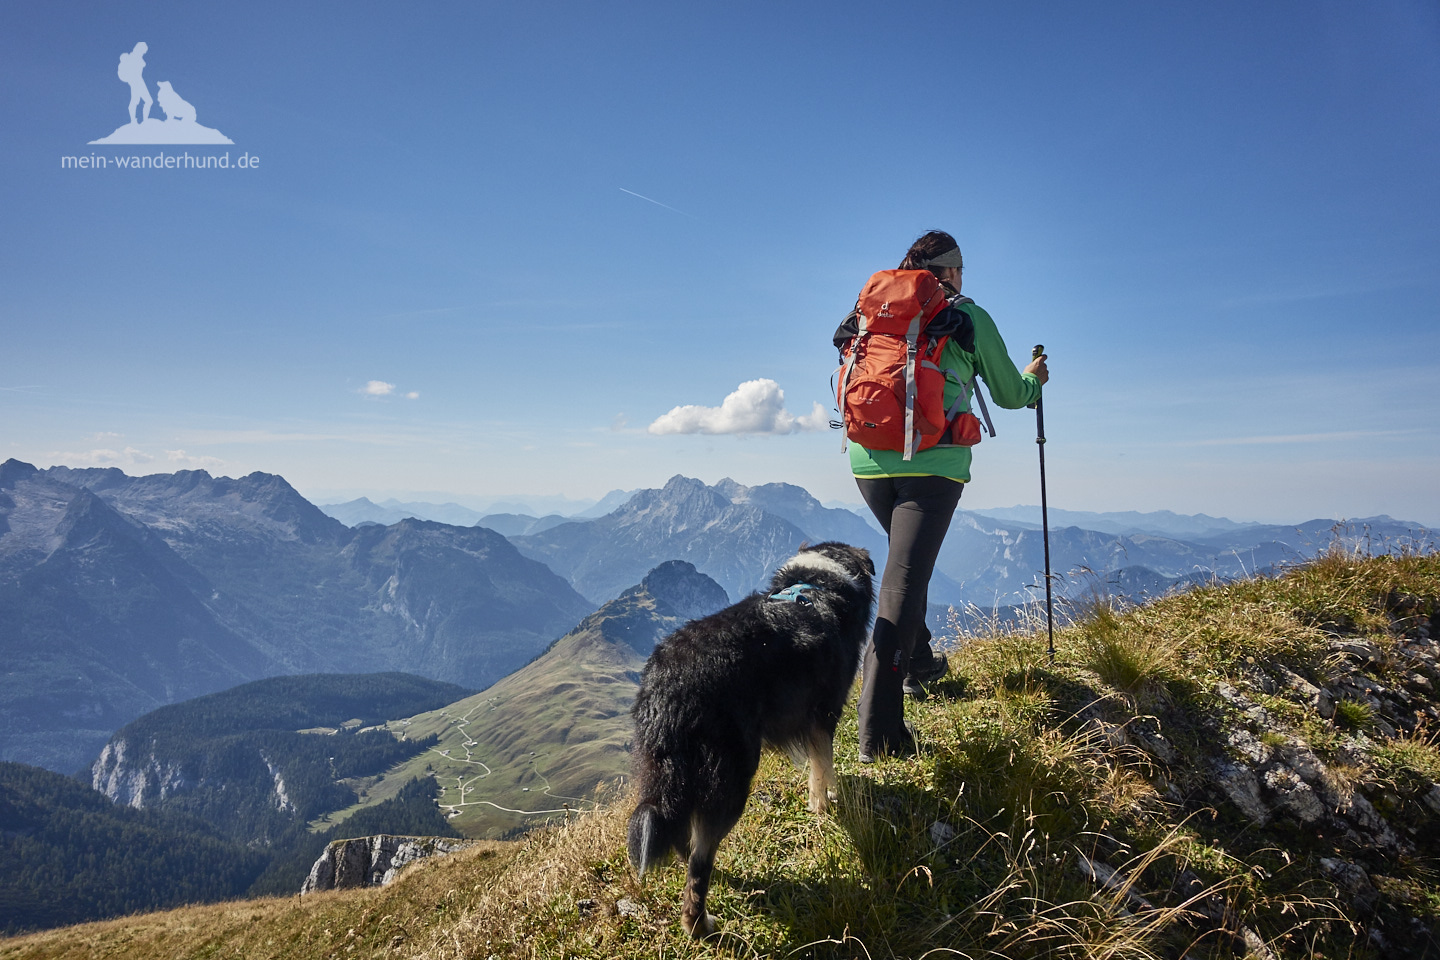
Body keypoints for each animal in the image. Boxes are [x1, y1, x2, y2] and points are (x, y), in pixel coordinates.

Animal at [624, 541, 869, 938]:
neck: (818, 580)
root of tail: (670, 683)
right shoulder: (824, 713)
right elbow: (823, 765)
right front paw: (825, 803)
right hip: (730, 778)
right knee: (699, 863)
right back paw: (700, 925)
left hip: (670, 775)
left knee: (684, 837)